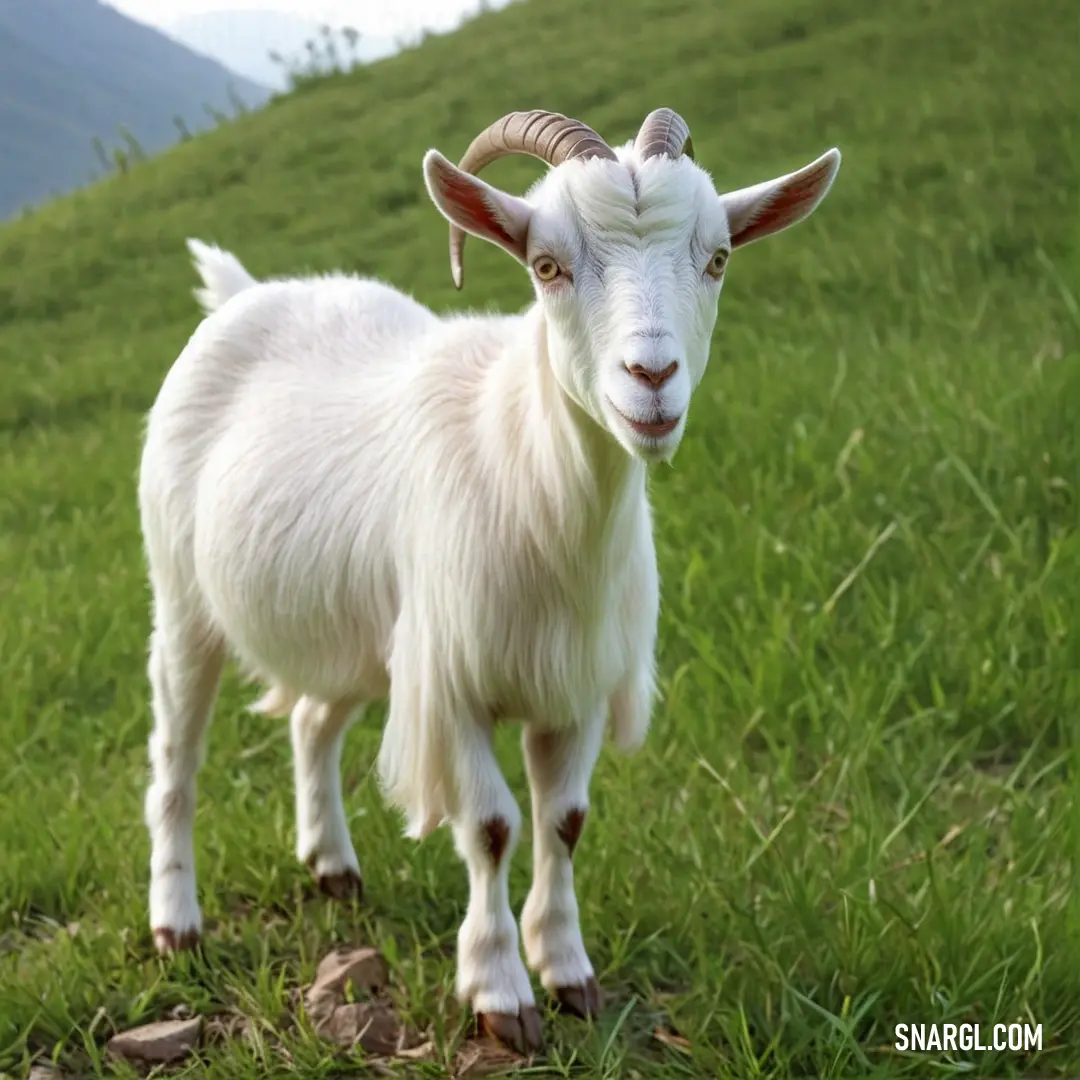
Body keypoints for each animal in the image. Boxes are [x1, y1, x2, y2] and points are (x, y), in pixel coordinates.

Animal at [137, 105, 842, 1049]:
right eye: (548, 266)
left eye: (719, 257)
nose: (652, 378)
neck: (531, 478)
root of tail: (246, 292)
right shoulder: (455, 683)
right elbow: (494, 826)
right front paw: (500, 991)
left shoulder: (573, 683)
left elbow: (565, 821)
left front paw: (569, 971)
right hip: (184, 597)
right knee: (176, 757)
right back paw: (176, 922)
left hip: (360, 630)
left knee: (314, 722)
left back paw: (332, 867)